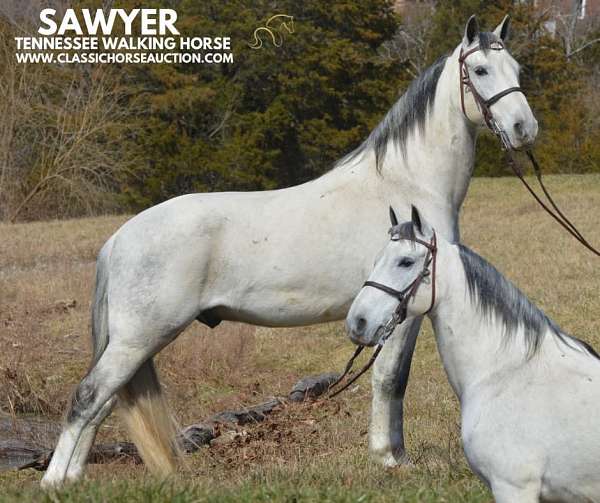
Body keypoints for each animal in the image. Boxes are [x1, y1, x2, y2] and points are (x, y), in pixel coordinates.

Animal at [43, 16, 540, 488]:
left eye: (516, 69)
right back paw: (54, 482)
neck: (406, 184)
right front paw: (390, 460)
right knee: (88, 397)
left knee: (104, 403)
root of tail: (118, 239)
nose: (524, 129)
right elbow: (390, 380)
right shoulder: (399, 313)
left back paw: (73, 478)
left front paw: (393, 456)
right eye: (480, 70)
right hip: (137, 338)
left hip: (133, 342)